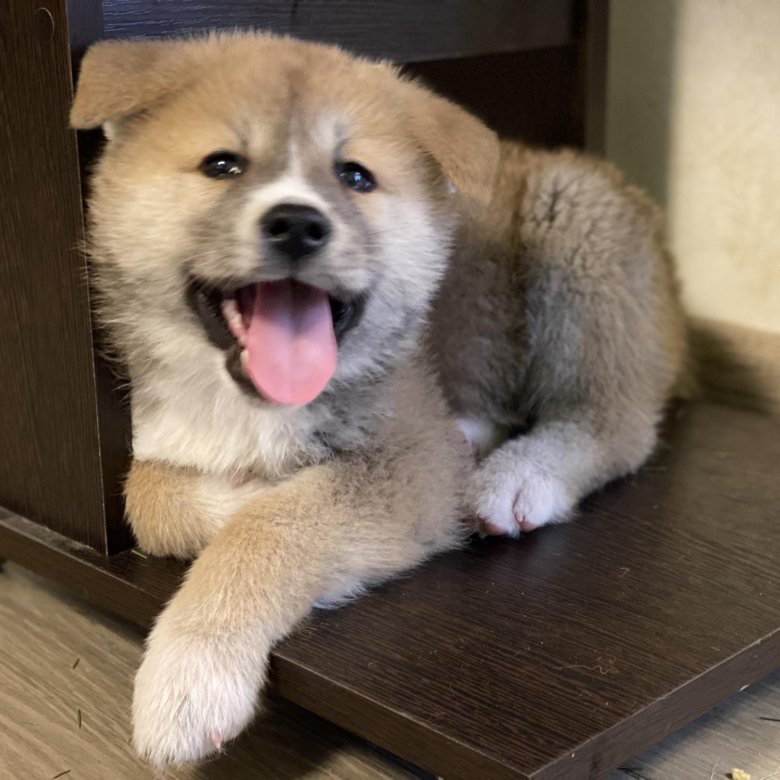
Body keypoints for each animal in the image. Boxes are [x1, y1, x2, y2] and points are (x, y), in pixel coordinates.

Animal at [70, 32, 689, 767]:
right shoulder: (166, 427)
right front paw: (231, 498)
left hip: (576, 240)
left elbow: (275, 525)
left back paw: (518, 477)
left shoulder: (413, 458)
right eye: (222, 164)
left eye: (356, 177)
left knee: (618, 423)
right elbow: (145, 494)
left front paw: (192, 672)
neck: (252, 408)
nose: (297, 224)